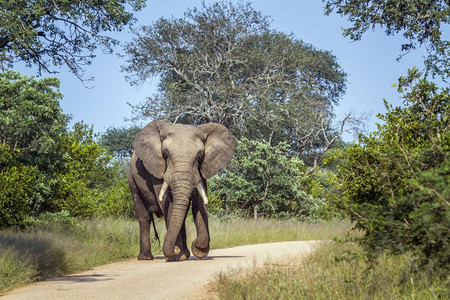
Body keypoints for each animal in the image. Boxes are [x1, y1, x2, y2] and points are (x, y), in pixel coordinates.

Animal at [127, 119, 237, 260]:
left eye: (200, 156)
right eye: (165, 154)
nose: (174, 249)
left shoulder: (200, 171)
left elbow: (199, 203)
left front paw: (198, 249)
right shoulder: (158, 169)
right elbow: (168, 204)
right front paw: (176, 257)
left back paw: (184, 254)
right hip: (132, 181)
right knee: (144, 217)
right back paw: (147, 258)